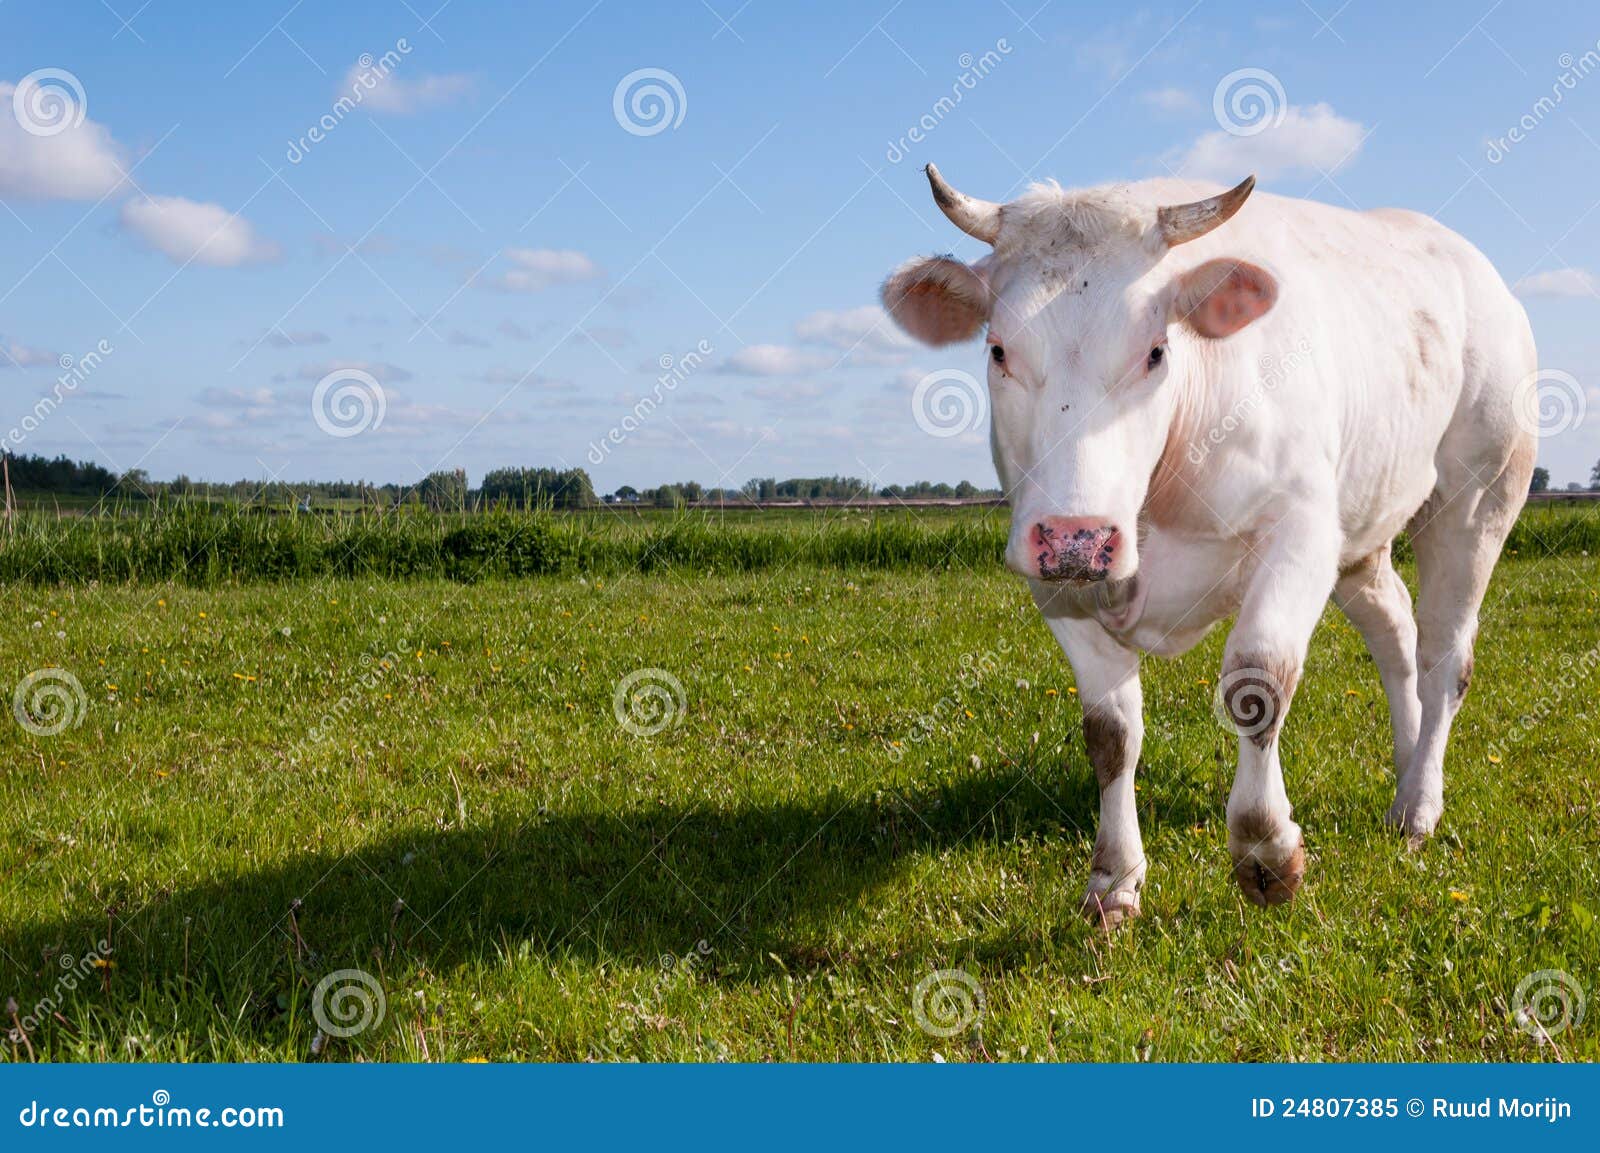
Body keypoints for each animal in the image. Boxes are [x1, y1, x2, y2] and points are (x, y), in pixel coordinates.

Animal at [881, 164, 1536, 925]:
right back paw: (1403, 774)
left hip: (1478, 499)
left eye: (1156, 351)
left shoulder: (1302, 529)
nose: (1078, 537)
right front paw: (1114, 879)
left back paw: (1421, 804)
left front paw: (1266, 851)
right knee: (1395, 632)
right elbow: (1111, 730)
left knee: (1445, 655)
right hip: (1365, 526)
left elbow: (1258, 681)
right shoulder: (1054, 578)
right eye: (998, 350)